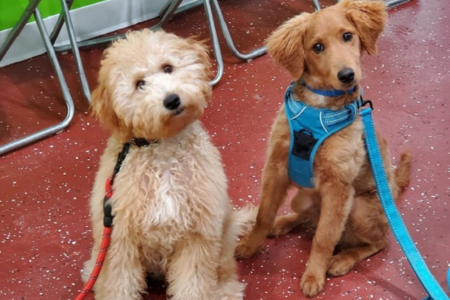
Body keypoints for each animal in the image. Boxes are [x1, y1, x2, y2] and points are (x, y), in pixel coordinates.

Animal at [82, 29, 251, 300]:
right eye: (139, 84)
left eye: (168, 67)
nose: (172, 100)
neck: (163, 151)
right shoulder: (120, 239)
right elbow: (118, 282)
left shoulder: (197, 236)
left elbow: (194, 284)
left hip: (222, 239)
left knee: (225, 271)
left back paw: (225, 290)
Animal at [236, 0, 412, 298]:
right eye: (317, 47)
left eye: (348, 36)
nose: (347, 75)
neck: (317, 109)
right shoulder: (276, 167)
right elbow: (262, 214)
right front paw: (251, 245)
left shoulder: (338, 186)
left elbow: (324, 238)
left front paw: (313, 275)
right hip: (304, 197)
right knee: (308, 218)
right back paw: (283, 223)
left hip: (359, 208)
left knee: (379, 242)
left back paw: (343, 259)